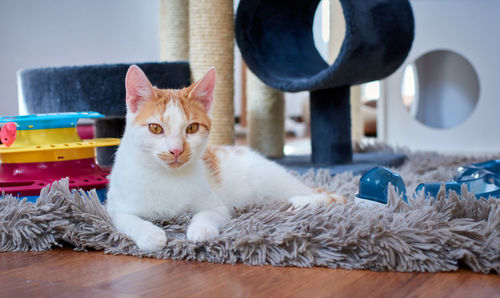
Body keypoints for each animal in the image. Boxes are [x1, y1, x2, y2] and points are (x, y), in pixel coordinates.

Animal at [107, 66, 346, 251]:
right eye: (155, 128)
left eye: (192, 128)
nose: (176, 150)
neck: (167, 175)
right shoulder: (114, 207)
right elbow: (128, 220)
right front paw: (150, 235)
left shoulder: (218, 206)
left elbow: (209, 214)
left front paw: (201, 229)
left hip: (269, 180)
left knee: (319, 195)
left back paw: (301, 202)